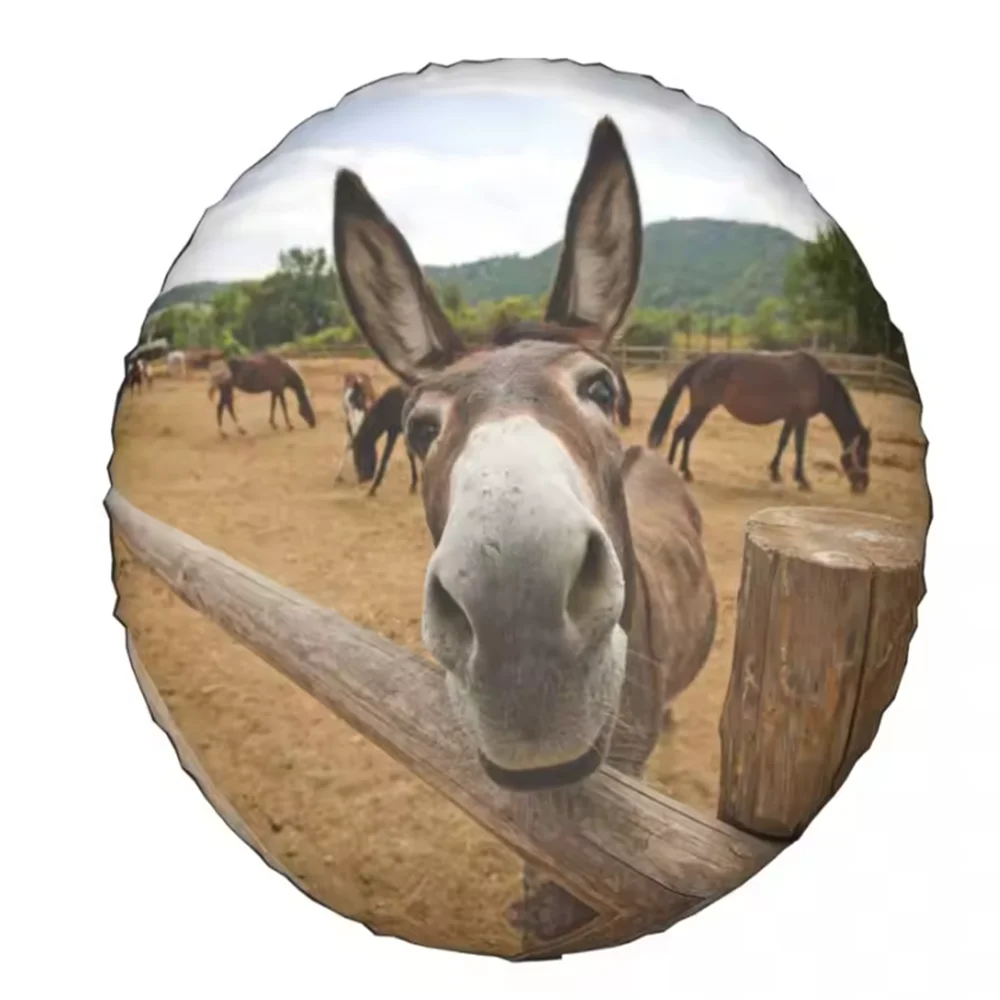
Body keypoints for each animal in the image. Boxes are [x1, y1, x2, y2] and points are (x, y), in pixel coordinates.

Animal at [646, 350, 872, 493]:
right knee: (681, 432)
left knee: (686, 434)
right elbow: (799, 447)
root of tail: (703, 361)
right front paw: (802, 481)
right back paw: (676, 469)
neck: (818, 381)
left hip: (701, 410)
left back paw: (685, 471)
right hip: (701, 409)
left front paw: (775, 473)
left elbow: (782, 442)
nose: (863, 485)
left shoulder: (791, 418)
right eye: (862, 452)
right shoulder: (801, 419)